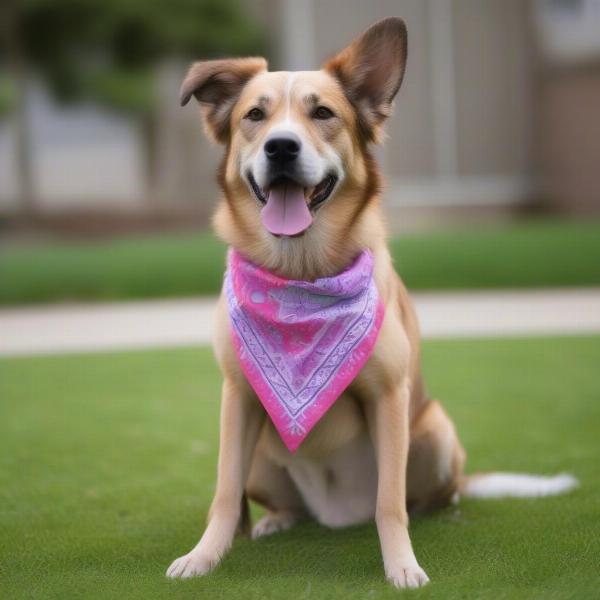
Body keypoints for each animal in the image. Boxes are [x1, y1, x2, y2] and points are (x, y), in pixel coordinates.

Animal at [166, 17, 580, 584]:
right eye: (255, 115)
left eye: (323, 113)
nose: (281, 147)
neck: (301, 274)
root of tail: (338, 516)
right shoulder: (239, 398)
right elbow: (224, 495)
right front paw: (204, 555)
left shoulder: (389, 397)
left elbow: (391, 503)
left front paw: (401, 564)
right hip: (261, 451)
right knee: (282, 504)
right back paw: (277, 520)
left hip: (434, 431)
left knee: (428, 496)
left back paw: (436, 514)